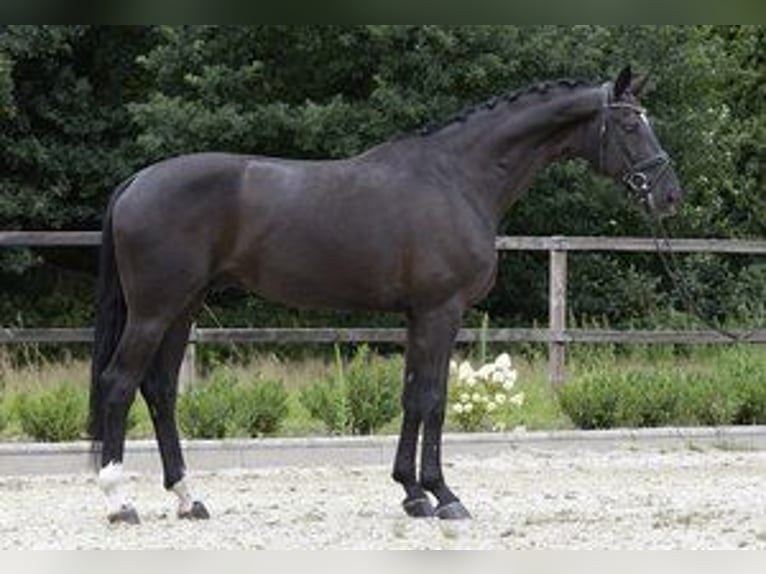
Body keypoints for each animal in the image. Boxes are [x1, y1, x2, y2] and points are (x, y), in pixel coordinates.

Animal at [88, 67, 684, 528]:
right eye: (630, 123)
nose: (669, 195)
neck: (458, 178)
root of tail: (136, 182)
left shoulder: (419, 316)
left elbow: (412, 396)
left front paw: (412, 493)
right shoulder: (442, 311)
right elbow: (434, 399)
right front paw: (444, 495)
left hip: (182, 309)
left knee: (160, 391)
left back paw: (188, 499)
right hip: (155, 310)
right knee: (119, 384)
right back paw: (119, 501)